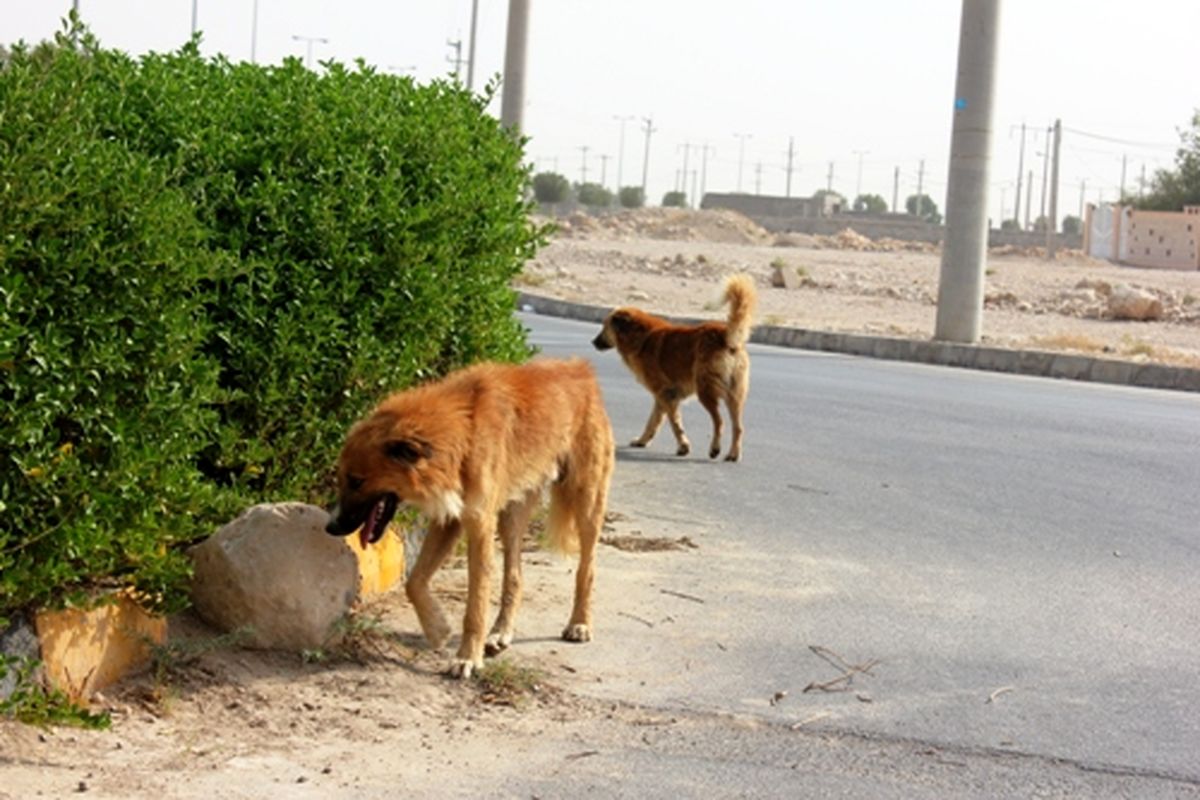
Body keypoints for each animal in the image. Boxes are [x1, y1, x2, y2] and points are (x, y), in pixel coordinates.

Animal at [324, 359, 614, 681]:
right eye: (343, 479)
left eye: (357, 481)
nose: (331, 527)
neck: (463, 431)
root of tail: (581, 369)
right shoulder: (449, 519)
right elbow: (415, 581)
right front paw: (438, 629)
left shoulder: (479, 526)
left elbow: (475, 605)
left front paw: (467, 658)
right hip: (511, 517)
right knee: (514, 577)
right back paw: (500, 632)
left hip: (586, 504)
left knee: (586, 570)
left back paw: (580, 623)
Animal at [592, 275, 753, 462]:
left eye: (604, 327)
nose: (593, 342)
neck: (641, 337)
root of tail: (724, 335)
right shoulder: (662, 397)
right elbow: (653, 422)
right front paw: (642, 441)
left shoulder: (666, 395)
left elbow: (674, 424)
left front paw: (683, 446)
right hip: (735, 395)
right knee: (738, 427)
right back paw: (733, 454)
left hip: (705, 391)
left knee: (720, 422)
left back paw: (715, 449)